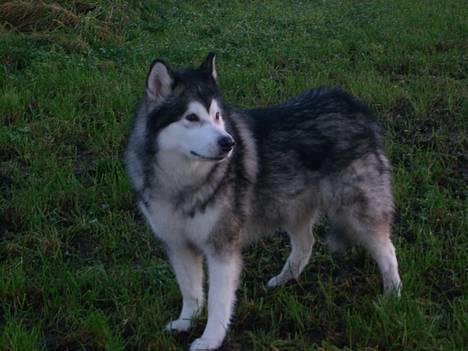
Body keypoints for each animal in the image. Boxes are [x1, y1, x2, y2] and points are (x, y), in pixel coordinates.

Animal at [125, 53, 402, 350]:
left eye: (217, 115)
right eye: (191, 117)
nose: (228, 143)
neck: (183, 182)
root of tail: (353, 104)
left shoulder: (221, 247)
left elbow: (217, 301)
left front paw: (210, 338)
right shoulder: (177, 244)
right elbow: (190, 291)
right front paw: (186, 321)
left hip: (357, 210)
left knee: (387, 249)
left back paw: (393, 295)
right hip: (291, 206)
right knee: (306, 243)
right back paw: (284, 279)